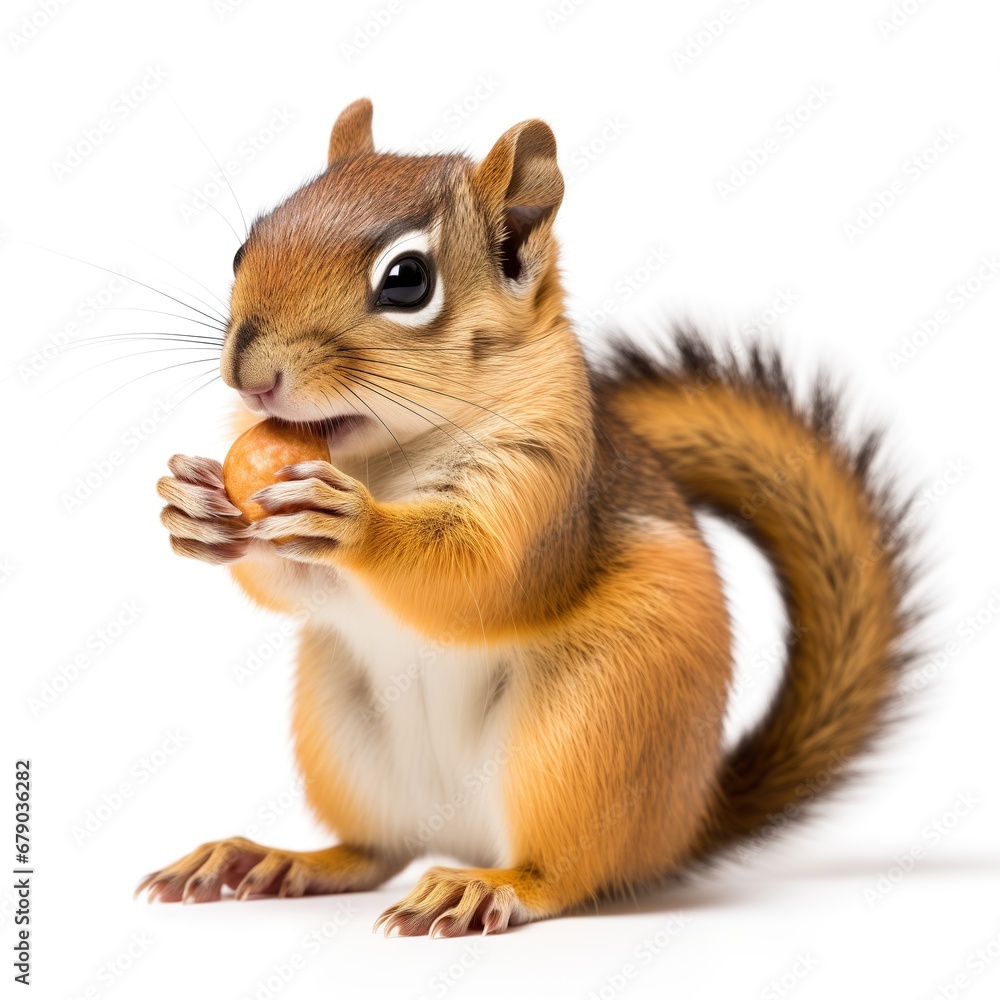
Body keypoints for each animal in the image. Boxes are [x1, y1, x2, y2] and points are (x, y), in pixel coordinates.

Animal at [137, 98, 915, 937]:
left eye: (406, 281)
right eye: (246, 245)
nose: (248, 373)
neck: (382, 459)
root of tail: (687, 817)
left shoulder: (543, 486)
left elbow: (481, 576)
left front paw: (354, 525)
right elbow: (294, 586)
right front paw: (193, 505)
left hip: (586, 735)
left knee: (562, 872)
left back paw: (483, 887)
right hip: (342, 736)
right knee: (373, 851)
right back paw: (273, 859)